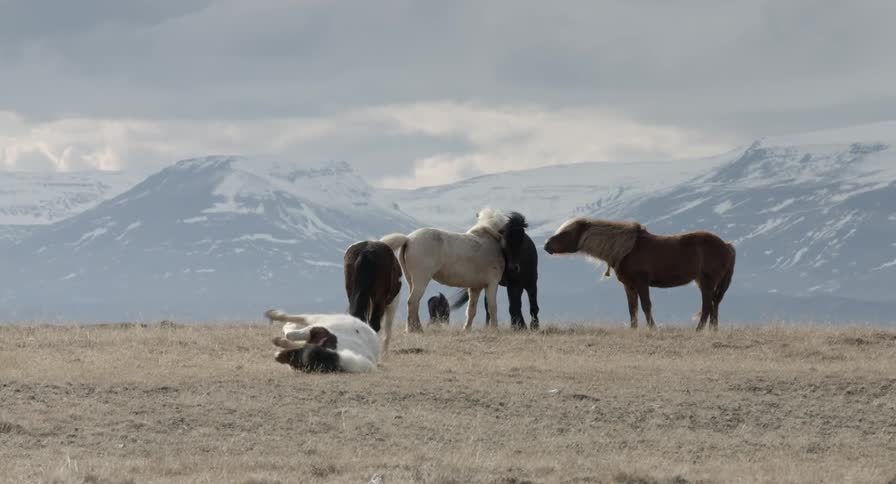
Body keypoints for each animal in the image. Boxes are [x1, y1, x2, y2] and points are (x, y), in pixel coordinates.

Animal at [381, 208, 529, 332]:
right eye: (508, 237)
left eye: (521, 237)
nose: (515, 267)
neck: (491, 242)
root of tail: (408, 239)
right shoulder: (492, 284)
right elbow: (493, 307)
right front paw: (494, 329)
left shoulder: (476, 287)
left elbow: (471, 309)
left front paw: (466, 329)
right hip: (421, 280)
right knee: (412, 302)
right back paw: (415, 330)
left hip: (410, 280)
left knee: (414, 303)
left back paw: (415, 328)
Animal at [543, 217, 736, 331]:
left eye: (566, 232)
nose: (546, 246)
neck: (627, 250)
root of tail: (726, 245)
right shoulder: (629, 286)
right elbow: (632, 309)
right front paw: (633, 329)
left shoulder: (642, 283)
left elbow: (645, 306)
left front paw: (653, 329)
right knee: (714, 305)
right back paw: (712, 330)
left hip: (707, 283)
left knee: (708, 306)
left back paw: (699, 330)